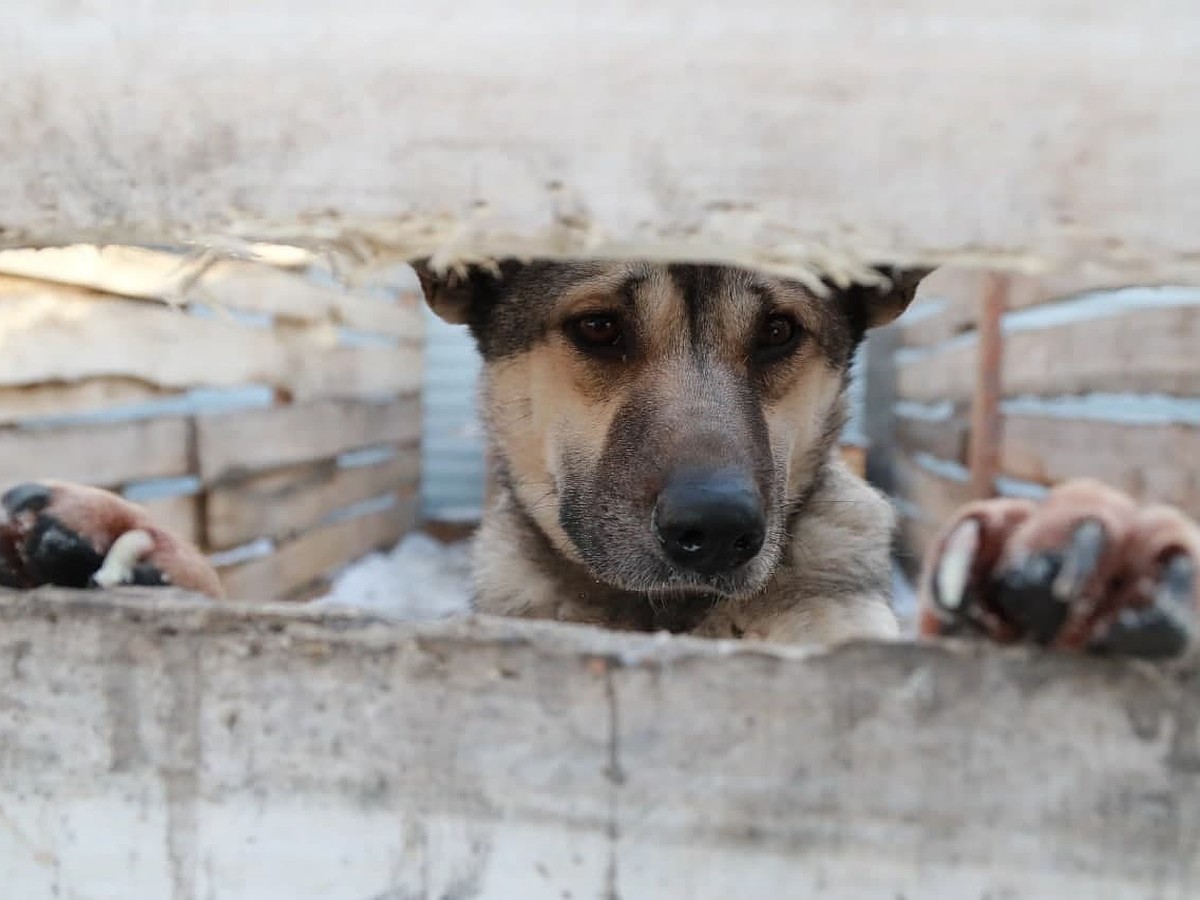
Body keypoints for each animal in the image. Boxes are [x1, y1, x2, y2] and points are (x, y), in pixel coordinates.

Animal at [0, 259, 1195, 657]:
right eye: (600, 329)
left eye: (779, 334)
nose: (718, 533)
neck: (664, 618)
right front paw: (126, 547)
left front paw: (1082, 555)